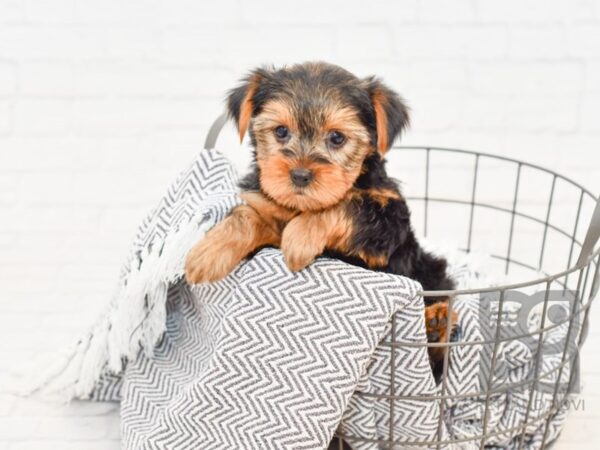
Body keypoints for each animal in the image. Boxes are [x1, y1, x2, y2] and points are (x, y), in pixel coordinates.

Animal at [185, 60, 458, 376]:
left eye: (337, 138)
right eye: (281, 131)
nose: (300, 175)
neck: (299, 208)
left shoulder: (388, 221)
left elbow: (346, 204)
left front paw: (299, 238)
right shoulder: (269, 212)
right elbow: (247, 215)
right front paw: (207, 253)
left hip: (429, 270)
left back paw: (437, 322)